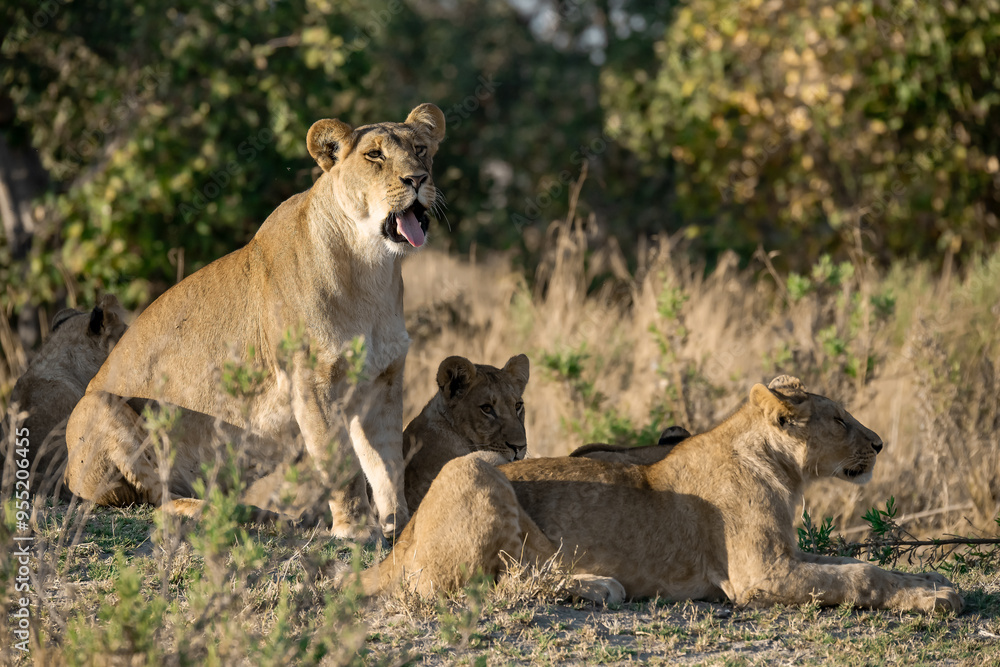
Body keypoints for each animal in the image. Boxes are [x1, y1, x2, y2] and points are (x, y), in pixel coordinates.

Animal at [64, 104, 446, 540]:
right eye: (375, 156)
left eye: (420, 149)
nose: (417, 179)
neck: (372, 268)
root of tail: (68, 474)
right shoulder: (310, 380)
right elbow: (340, 462)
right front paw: (355, 530)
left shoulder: (382, 378)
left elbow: (387, 462)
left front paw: (398, 524)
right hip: (97, 405)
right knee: (158, 499)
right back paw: (225, 513)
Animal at [358, 376, 963, 614]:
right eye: (839, 419)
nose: (879, 444)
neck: (781, 469)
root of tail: (397, 546)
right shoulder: (760, 575)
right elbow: (858, 575)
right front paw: (936, 598)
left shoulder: (788, 554)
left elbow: (861, 563)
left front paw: (933, 583)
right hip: (480, 466)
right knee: (495, 582)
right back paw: (596, 586)